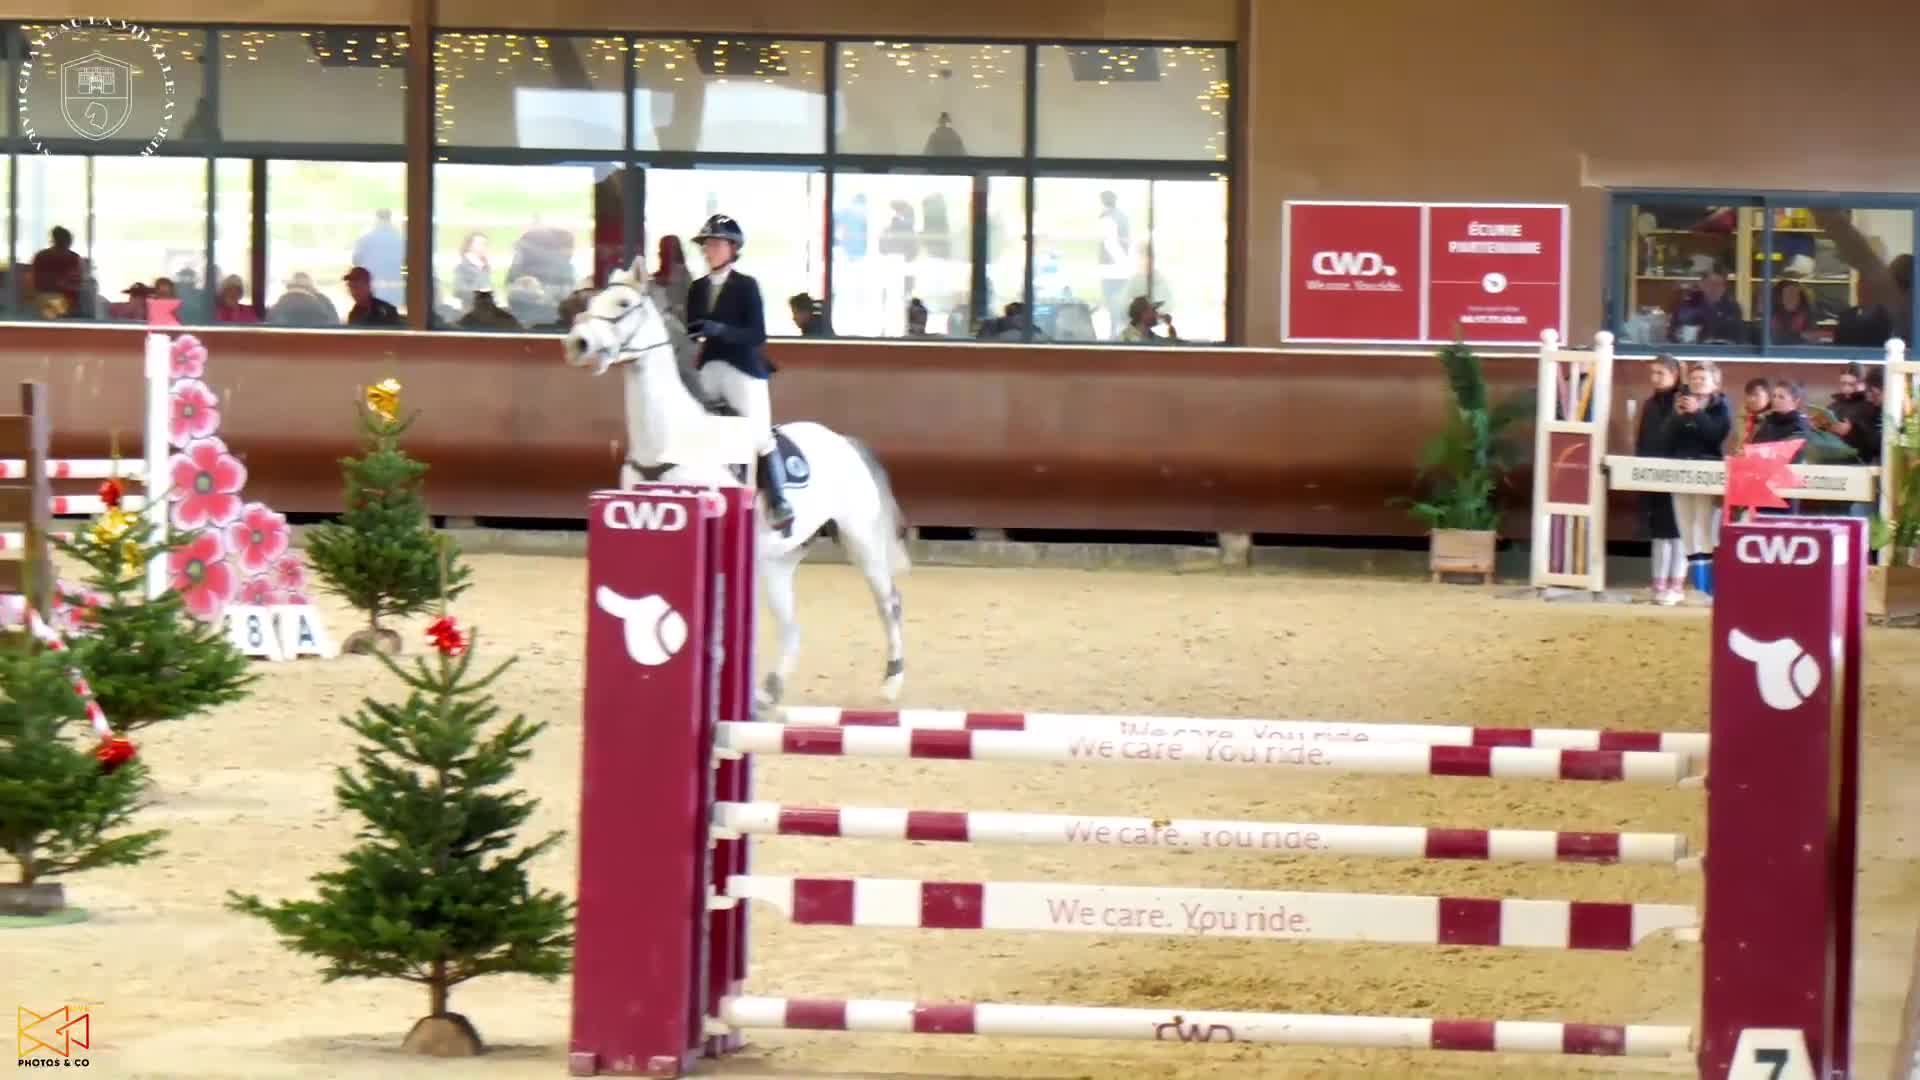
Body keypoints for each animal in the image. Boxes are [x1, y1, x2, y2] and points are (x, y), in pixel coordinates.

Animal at [561, 260, 909, 708]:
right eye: (590, 301)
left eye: (622, 303)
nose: (578, 343)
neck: (671, 440)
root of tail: (843, 441)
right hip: (777, 561)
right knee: (792, 625)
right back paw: (768, 691)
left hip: (860, 540)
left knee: (889, 602)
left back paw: (892, 682)